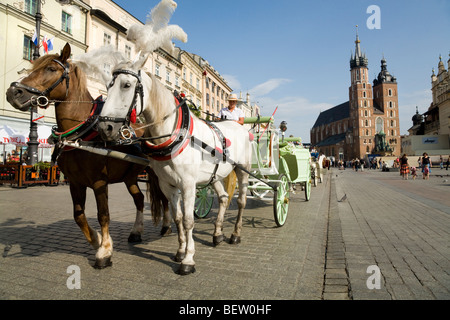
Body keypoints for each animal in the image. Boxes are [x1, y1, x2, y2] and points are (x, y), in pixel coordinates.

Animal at [6, 42, 168, 268]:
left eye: (51, 69)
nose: (13, 92)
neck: (81, 133)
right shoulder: (75, 182)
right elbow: (78, 215)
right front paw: (98, 240)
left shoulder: (100, 182)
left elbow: (103, 215)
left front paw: (105, 251)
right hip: (130, 177)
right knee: (139, 199)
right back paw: (136, 231)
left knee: (166, 199)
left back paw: (167, 226)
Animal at [97, 58, 253, 276]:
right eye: (108, 86)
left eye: (126, 85)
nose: (105, 128)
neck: (175, 134)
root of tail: (239, 126)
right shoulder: (167, 185)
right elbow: (178, 218)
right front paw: (180, 251)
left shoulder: (188, 185)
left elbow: (188, 221)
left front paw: (188, 259)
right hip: (214, 175)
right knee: (222, 198)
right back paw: (217, 233)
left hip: (242, 170)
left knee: (241, 202)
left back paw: (235, 234)